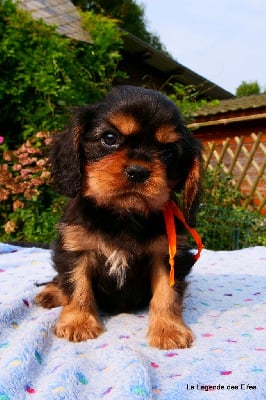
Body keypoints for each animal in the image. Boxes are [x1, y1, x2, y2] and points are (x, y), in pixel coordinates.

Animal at [34, 86, 202, 348]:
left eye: (167, 153)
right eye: (110, 138)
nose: (138, 171)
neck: (124, 216)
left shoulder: (168, 256)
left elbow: (167, 294)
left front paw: (168, 330)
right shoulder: (75, 248)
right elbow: (76, 285)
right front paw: (78, 322)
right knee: (58, 280)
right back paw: (51, 293)